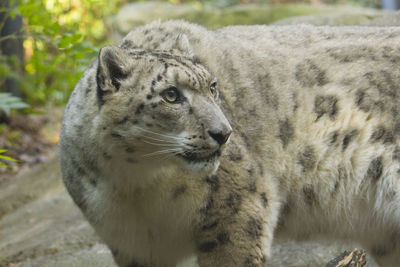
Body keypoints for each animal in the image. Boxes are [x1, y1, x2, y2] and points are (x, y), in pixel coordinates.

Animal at [59, 19, 400, 266]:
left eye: (213, 87)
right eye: (170, 94)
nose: (224, 132)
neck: (136, 184)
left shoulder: (236, 210)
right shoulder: (133, 245)